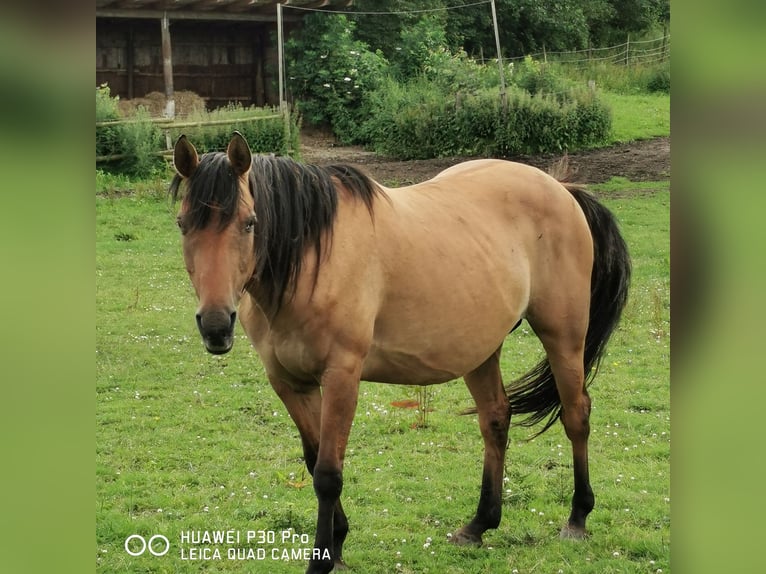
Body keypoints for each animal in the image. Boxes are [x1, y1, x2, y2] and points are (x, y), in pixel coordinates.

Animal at [170, 132, 630, 574]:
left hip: (563, 336)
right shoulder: (289, 383)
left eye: (249, 223)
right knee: (496, 420)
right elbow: (314, 460)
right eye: (182, 224)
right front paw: (338, 543)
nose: (216, 325)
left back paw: (577, 518)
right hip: (480, 348)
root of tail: (560, 188)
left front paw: (323, 558)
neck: (313, 259)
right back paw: (479, 525)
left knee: (576, 415)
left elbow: (328, 473)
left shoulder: (342, 376)